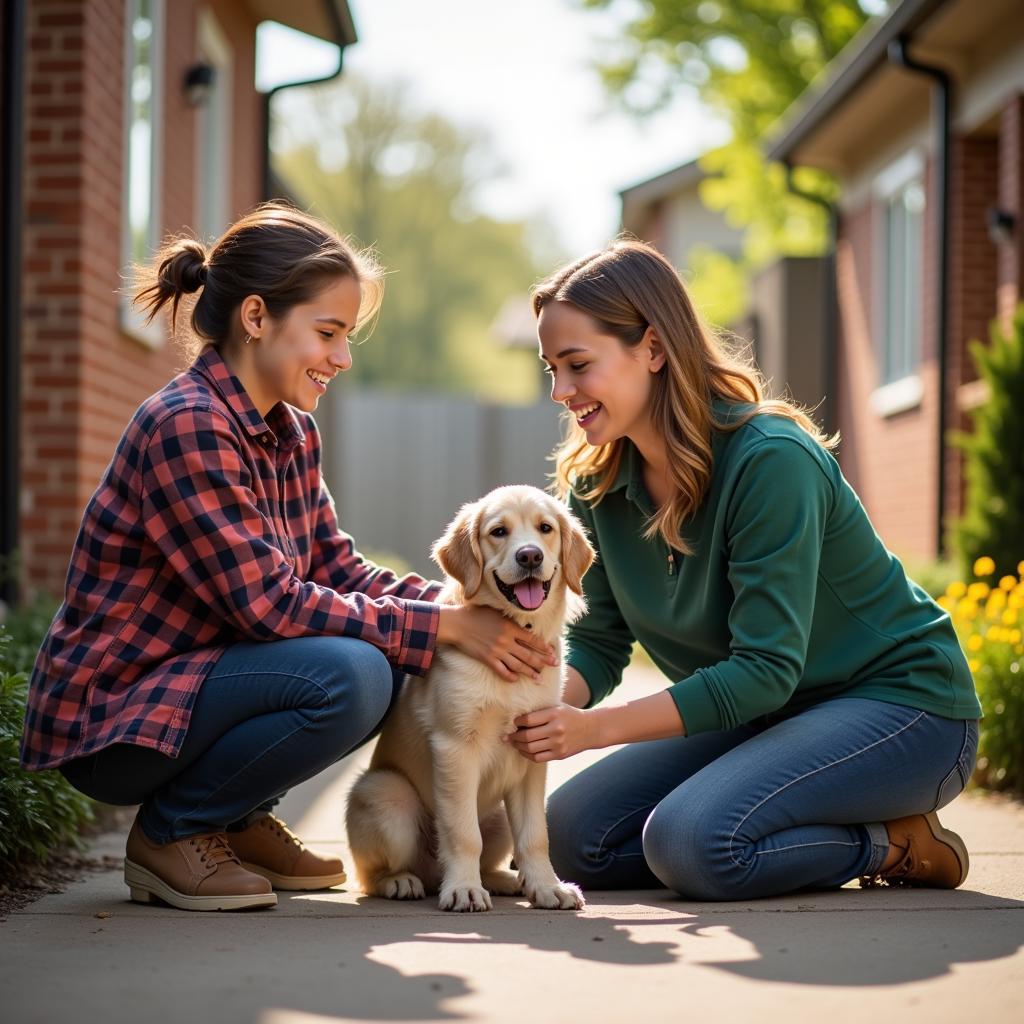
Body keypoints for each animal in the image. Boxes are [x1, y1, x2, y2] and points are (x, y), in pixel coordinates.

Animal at [348, 485, 598, 913]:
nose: (530, 556)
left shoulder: (534, 746)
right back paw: (402, 881)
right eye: (498, 532)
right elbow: (463, 833)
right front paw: (464, 889)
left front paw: (547, 886)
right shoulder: (455, 747)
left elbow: (535, 835)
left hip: (497, 818)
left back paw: (504, 880)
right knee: (372, 875)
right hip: (387, 796)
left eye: (545, 528)